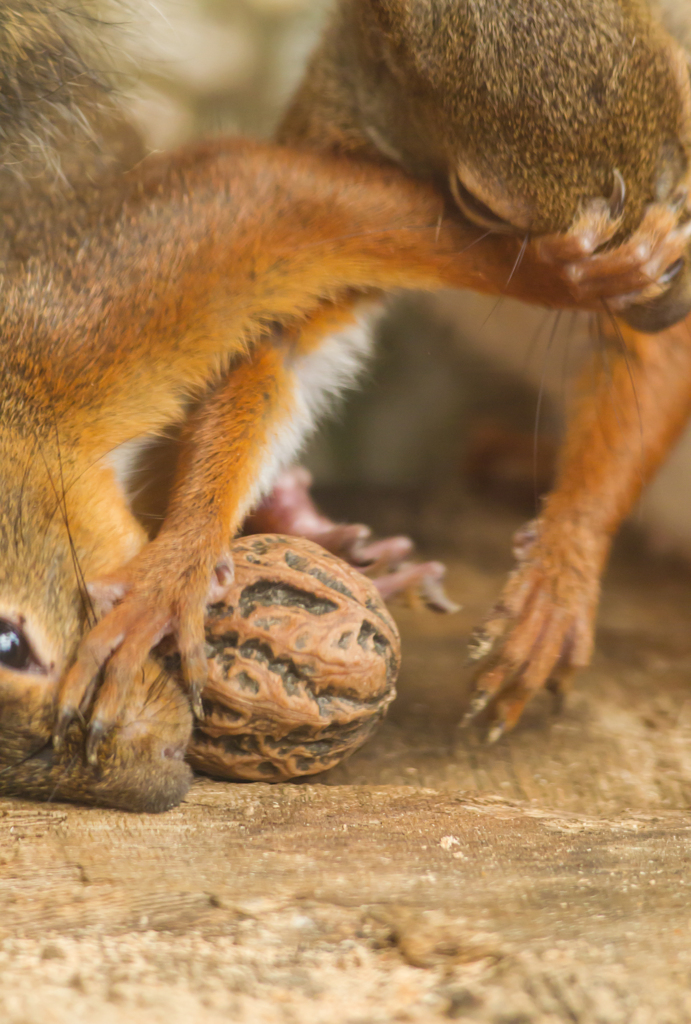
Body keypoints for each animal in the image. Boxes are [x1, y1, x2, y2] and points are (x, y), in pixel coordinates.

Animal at [0, 0, 687, 770]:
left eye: (686, 100)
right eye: (480, 203)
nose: (667, 302)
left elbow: (653, 361)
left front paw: (561, 571)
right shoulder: (337, 125)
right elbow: (285, 340)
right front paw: (180, 562)